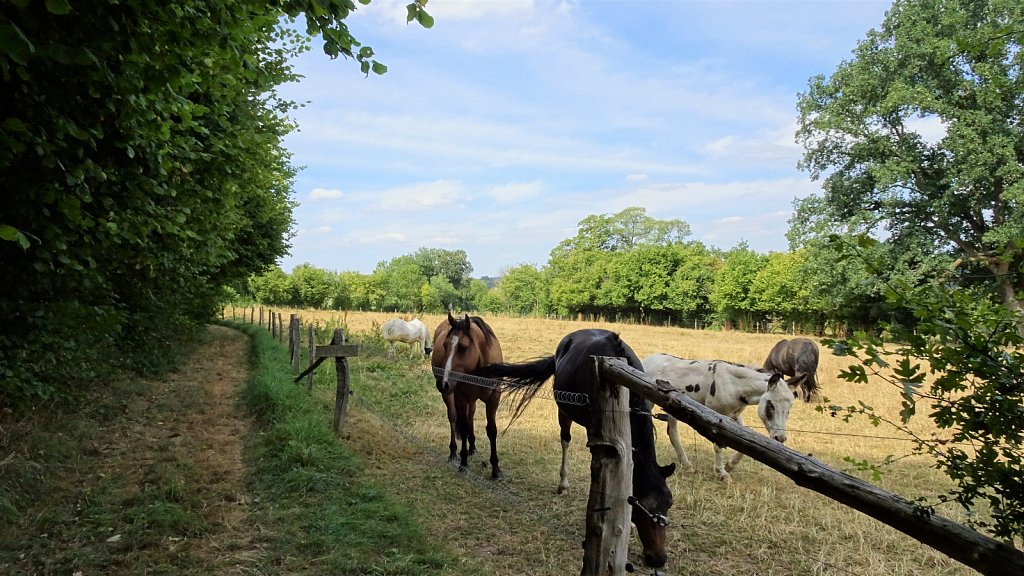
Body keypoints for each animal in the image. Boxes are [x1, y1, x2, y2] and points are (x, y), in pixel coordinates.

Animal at [428, 311, 503, 477]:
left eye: (463, 347)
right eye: (445, 345)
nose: (443, 383)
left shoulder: (494, 398)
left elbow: (491, 430)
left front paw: (496, 469)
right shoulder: (461, 397)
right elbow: (462, 427)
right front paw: (463, 463)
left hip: (471, 399)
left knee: (471, 415)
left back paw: (472, 447)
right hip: (450, 396)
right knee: (453, 417)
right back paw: (453, 453)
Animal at [477, 327, 675, 565]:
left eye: (669, 503)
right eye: (640, 508)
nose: (658, 558)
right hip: (564, 410)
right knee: (565, 439)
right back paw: (563, 483)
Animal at [638, 352, 806, 481]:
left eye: (789, 408)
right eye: (771, 405)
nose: (780, 438)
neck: (735, 384)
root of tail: (647, 359)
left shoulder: (733, 415)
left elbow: (746, 442)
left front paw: (729, 465)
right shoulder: (717, 417)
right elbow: (719, 446)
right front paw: (721, 472)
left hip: (672, 405)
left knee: (672, 433)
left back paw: (687, 465)